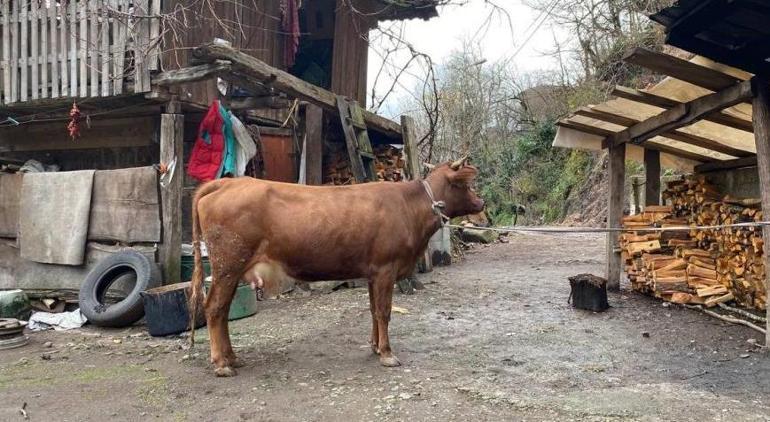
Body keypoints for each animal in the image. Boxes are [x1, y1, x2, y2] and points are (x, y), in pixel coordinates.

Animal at [189, 157, 484, 376]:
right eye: (465, 185)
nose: (482, 203)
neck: (410, 207)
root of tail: (227, 183)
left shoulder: (373, 273)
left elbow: (373, 310)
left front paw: (375, 347)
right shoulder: (386, 268)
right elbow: (384, 312)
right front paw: (388, 354)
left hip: (232, 270)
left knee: (223, 311)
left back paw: (232, 358)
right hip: (227, 266)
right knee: (215, 308)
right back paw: (222, 364)